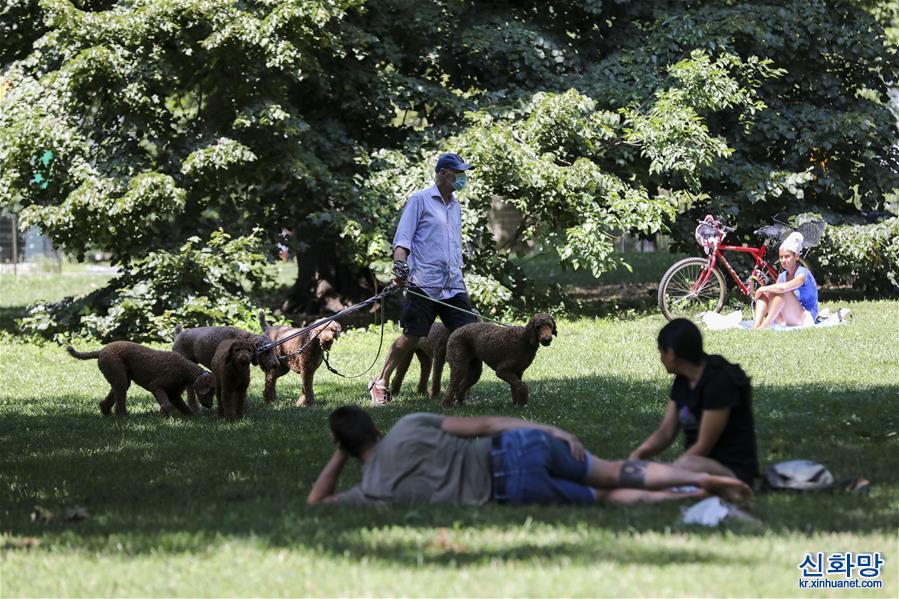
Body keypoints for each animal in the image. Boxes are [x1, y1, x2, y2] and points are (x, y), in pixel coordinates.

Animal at [65, 342, 216, 418]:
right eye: (210, 391)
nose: (209, 406)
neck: (184, 369)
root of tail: (101, 350)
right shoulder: (156, 386)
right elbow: (166, 404)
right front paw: (162, 417)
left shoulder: (174, 394)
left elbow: (183, 406)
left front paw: (192, 416)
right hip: (118, 375)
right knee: (120, 400)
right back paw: (122, 416)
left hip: (121, 378)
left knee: (112, 396)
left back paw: (106, 412)